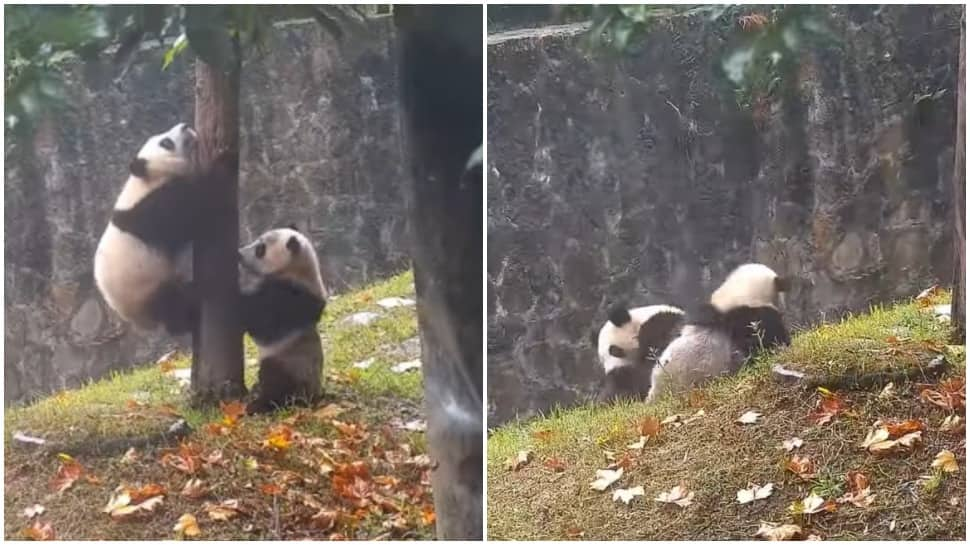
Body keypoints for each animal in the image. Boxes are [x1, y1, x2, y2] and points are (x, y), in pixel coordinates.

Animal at [93, 122, 217, 336]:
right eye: (166, 142)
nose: (184, 126)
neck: (149, 178)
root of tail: (141, 322)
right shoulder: (150, 208)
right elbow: (185, 219)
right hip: (150, 288)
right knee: (175, 305)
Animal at [236, 225, 328, 412]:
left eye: (260, 249)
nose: (239, 253)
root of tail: (314, 396)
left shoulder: (288, 299)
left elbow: (262, 323)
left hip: (289, 364)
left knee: (276, 382)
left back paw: (258, 405)